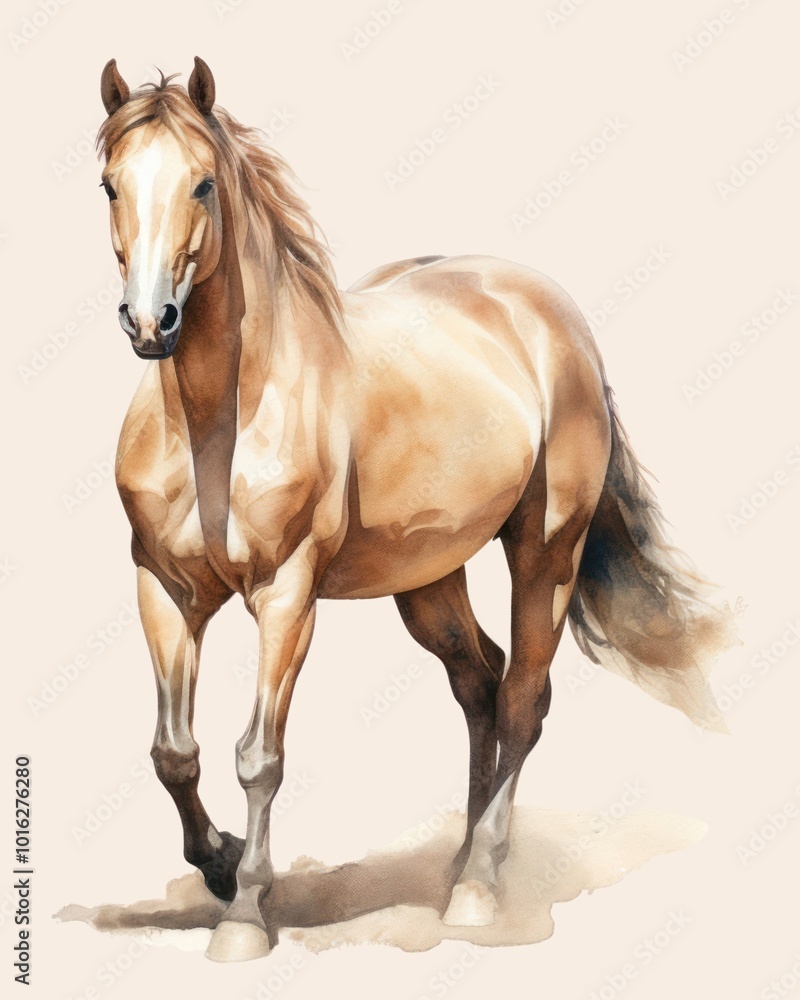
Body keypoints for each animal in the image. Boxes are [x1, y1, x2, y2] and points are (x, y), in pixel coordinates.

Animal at [97, 57, 737, 962]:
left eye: (204, 183)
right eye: (110, 184)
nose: (150, 322)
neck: (220, 421)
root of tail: (553, 317)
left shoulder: (285, 597)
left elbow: (260, 756)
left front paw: (246, 916)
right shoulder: (164, 589)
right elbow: (172, 753)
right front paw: (218, 864)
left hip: (545, 552)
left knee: (523, 697)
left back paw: (478, 889)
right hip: (428, 578)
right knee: (482, 683)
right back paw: (457, 866)